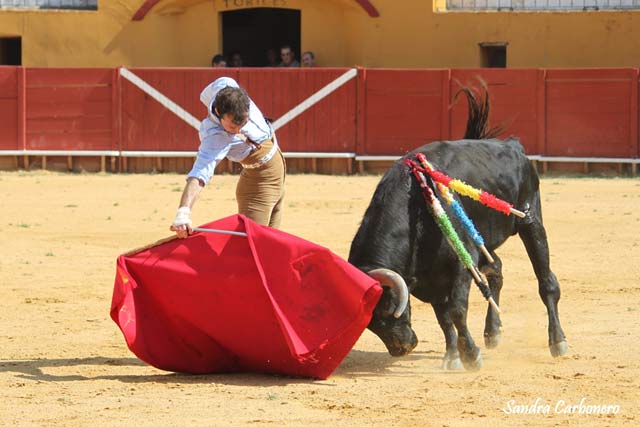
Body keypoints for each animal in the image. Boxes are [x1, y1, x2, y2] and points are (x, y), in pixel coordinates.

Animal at [350, 130, 568, 372]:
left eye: (388, 307)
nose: (402, 349)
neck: (414, 209)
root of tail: (513, 145)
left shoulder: (462, 264)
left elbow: (456, 310)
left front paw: (471, 356)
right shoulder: (429, 278)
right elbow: (443, 317)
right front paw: (452, 357)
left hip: (531, 221)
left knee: (546, 282)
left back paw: (557, 341)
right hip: (483, 242)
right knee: (497, 270)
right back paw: (492, 332)